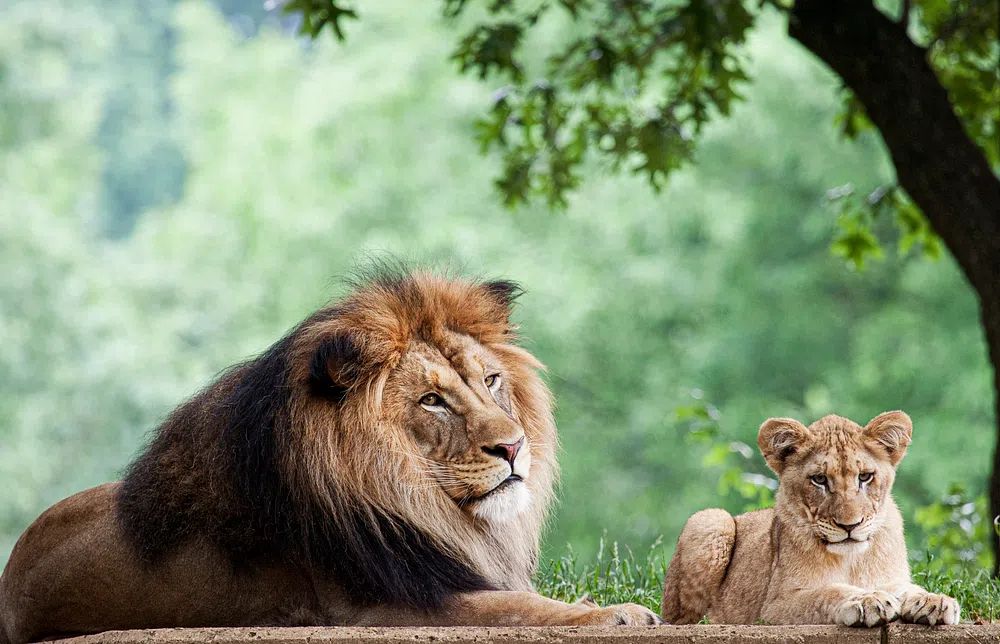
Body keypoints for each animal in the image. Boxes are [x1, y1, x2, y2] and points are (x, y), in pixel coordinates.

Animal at [0, 270, 660, 643]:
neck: (418, 500)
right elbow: (518, 608)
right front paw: (618, 614)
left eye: (491, 380)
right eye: (431, 400)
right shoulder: (376, 607)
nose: (514, 445)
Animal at [661, 411, 960, 627]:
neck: (852, 559)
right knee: (685, 619)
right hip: (712, 519)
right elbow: (827, 592)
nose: (850, 526)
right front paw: (866, 599)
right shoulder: (774, 607)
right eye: (819, 479)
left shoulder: (893, 578)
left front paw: (933, 601)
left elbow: (907, 589)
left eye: (865, 477)